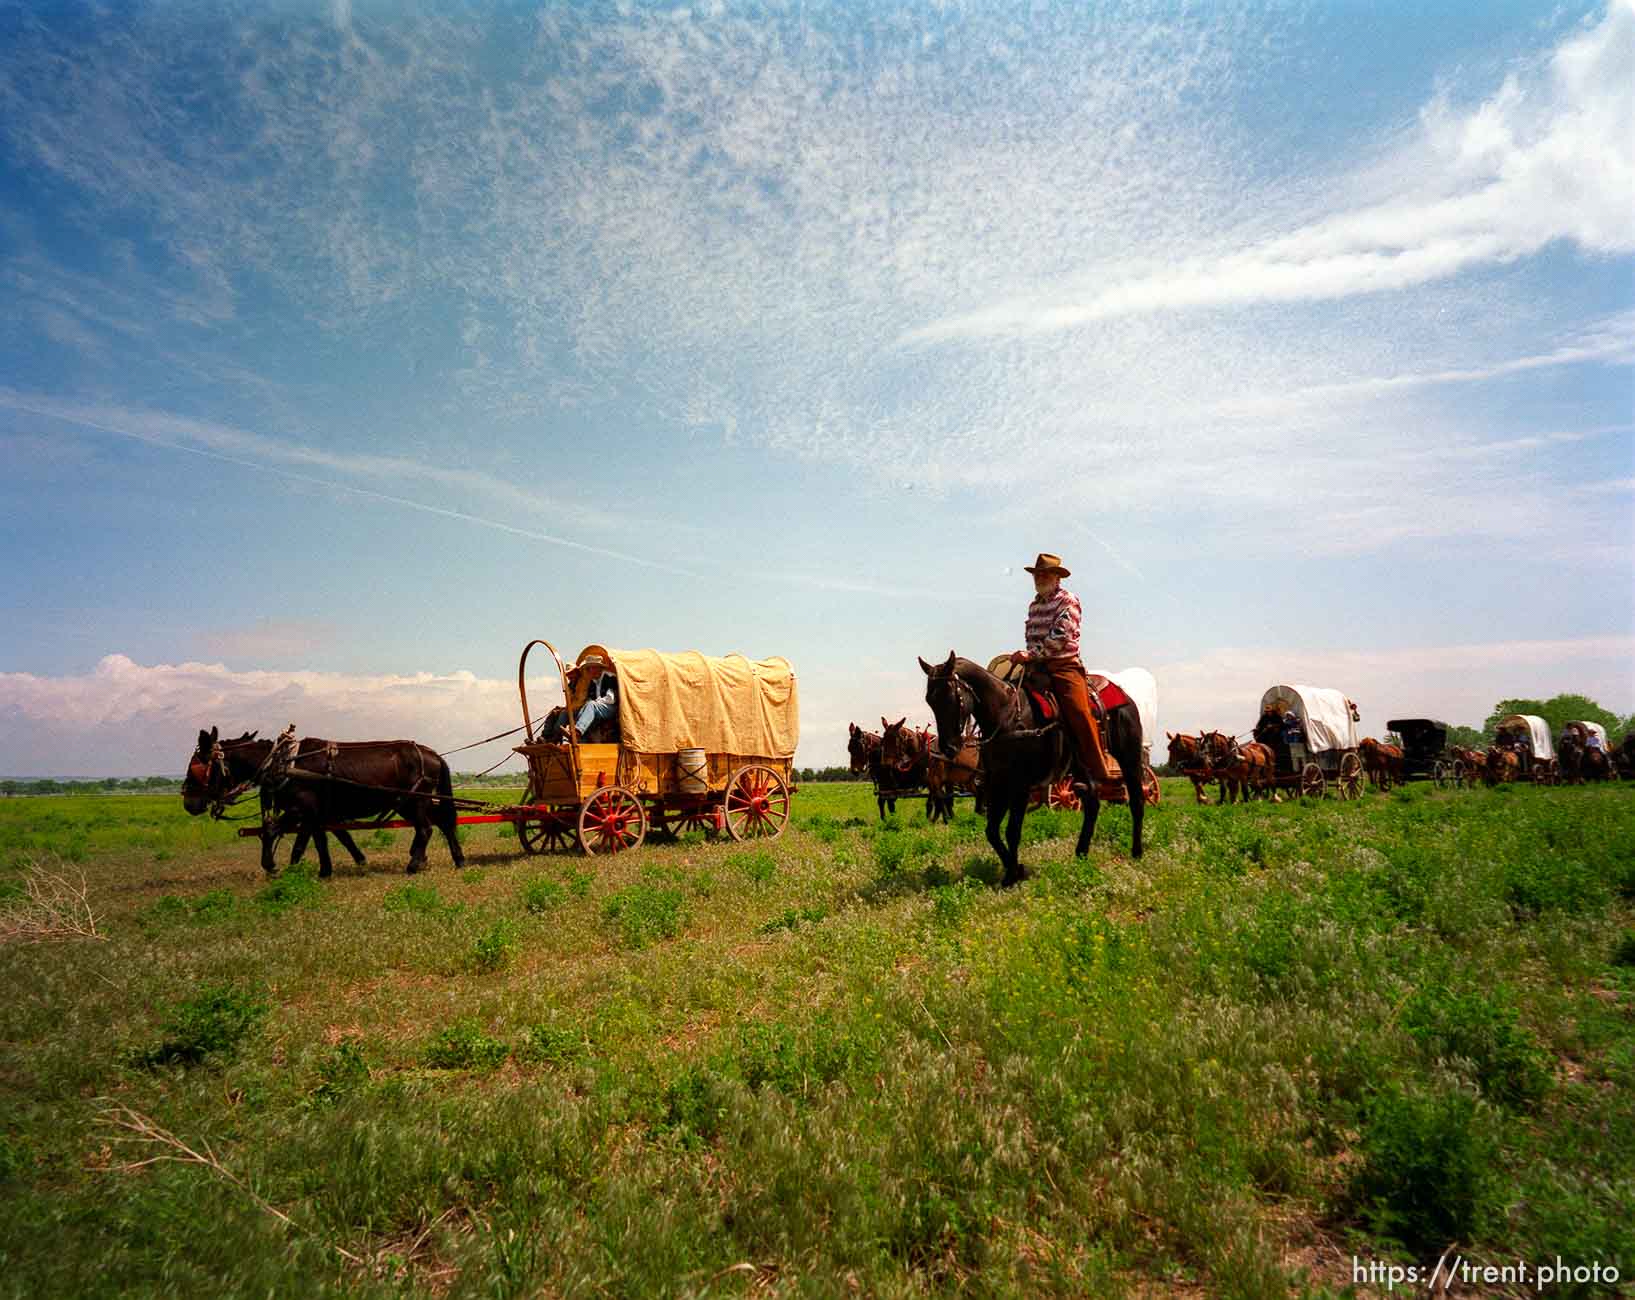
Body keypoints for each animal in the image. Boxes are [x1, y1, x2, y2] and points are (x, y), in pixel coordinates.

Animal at [182, 726, 464, 876]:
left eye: (196, 767)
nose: (189, 803)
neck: (281, 763)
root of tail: (433, 754)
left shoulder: (302, 808)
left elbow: (281, 834)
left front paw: (275, 866)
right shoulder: (317, 813)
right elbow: (324, 838)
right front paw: (328, 868)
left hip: (414, 801)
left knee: (426, 828)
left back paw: (414, 863)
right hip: (408, 802)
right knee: (442, 823)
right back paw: (455, 859)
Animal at [915, 650, 1144, 883]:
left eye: (951, 697)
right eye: (930, 700)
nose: (948, 748)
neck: (1007, 717)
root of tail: (1124, 696)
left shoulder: (1020, 786)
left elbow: (1012, 831)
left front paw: (1011, 876)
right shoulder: (998, 783)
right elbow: (992, 831)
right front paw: (1016, 869)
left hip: (1129, 757)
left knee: (1136, 800)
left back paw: (1136, 852)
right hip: (1081, 767)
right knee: (1092, 803)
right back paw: (1081, 853)